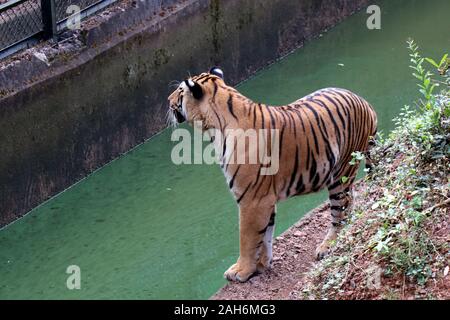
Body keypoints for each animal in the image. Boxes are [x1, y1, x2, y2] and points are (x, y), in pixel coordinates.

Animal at [167, 67, 378, 282]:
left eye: (180, 91)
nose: (168, 100)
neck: (215, 127)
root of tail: (363, 101)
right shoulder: (265, 198)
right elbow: (265, 236)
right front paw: (261, 265)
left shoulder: (251, 200)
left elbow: (247, 238)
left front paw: (241, 270)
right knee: (352, 200)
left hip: (341, 173)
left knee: (340, 210)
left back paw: (328, 245)